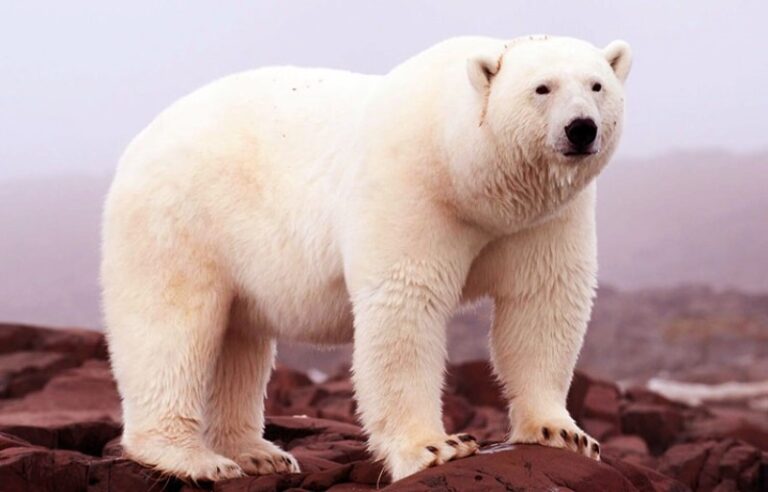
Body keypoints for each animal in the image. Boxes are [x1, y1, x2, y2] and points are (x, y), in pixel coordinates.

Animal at [101, 35, 632, 482]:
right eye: (542, 88)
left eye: (597, 85)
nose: (581, 129)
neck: (467, 174)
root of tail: (136, 145)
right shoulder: (413, 188)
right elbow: (406, 305)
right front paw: (436, 447)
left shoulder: (543, 219)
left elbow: (543, 301)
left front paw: (563, 433)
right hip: (179, 221)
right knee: (172, 329)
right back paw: (192, 458)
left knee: (239, 343)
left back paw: (257, 452)